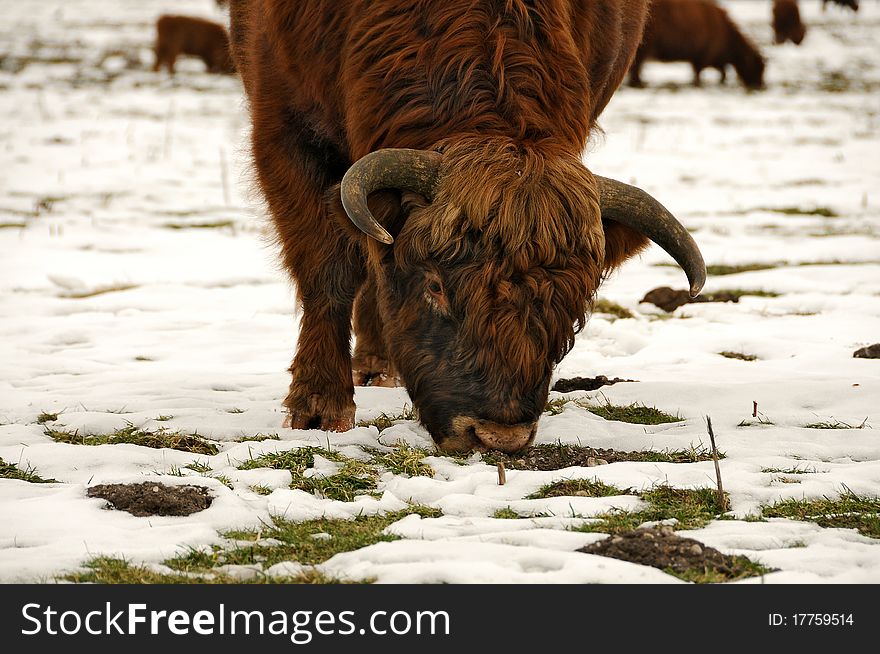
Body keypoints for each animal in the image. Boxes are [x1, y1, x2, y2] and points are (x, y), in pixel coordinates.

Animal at [628, 0, 768, 89]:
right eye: (757, 68)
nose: (760, 85)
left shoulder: (716, 62)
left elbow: (722, 74)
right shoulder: (703, 58)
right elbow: (698, 76)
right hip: (643, 50)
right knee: (636, 70)